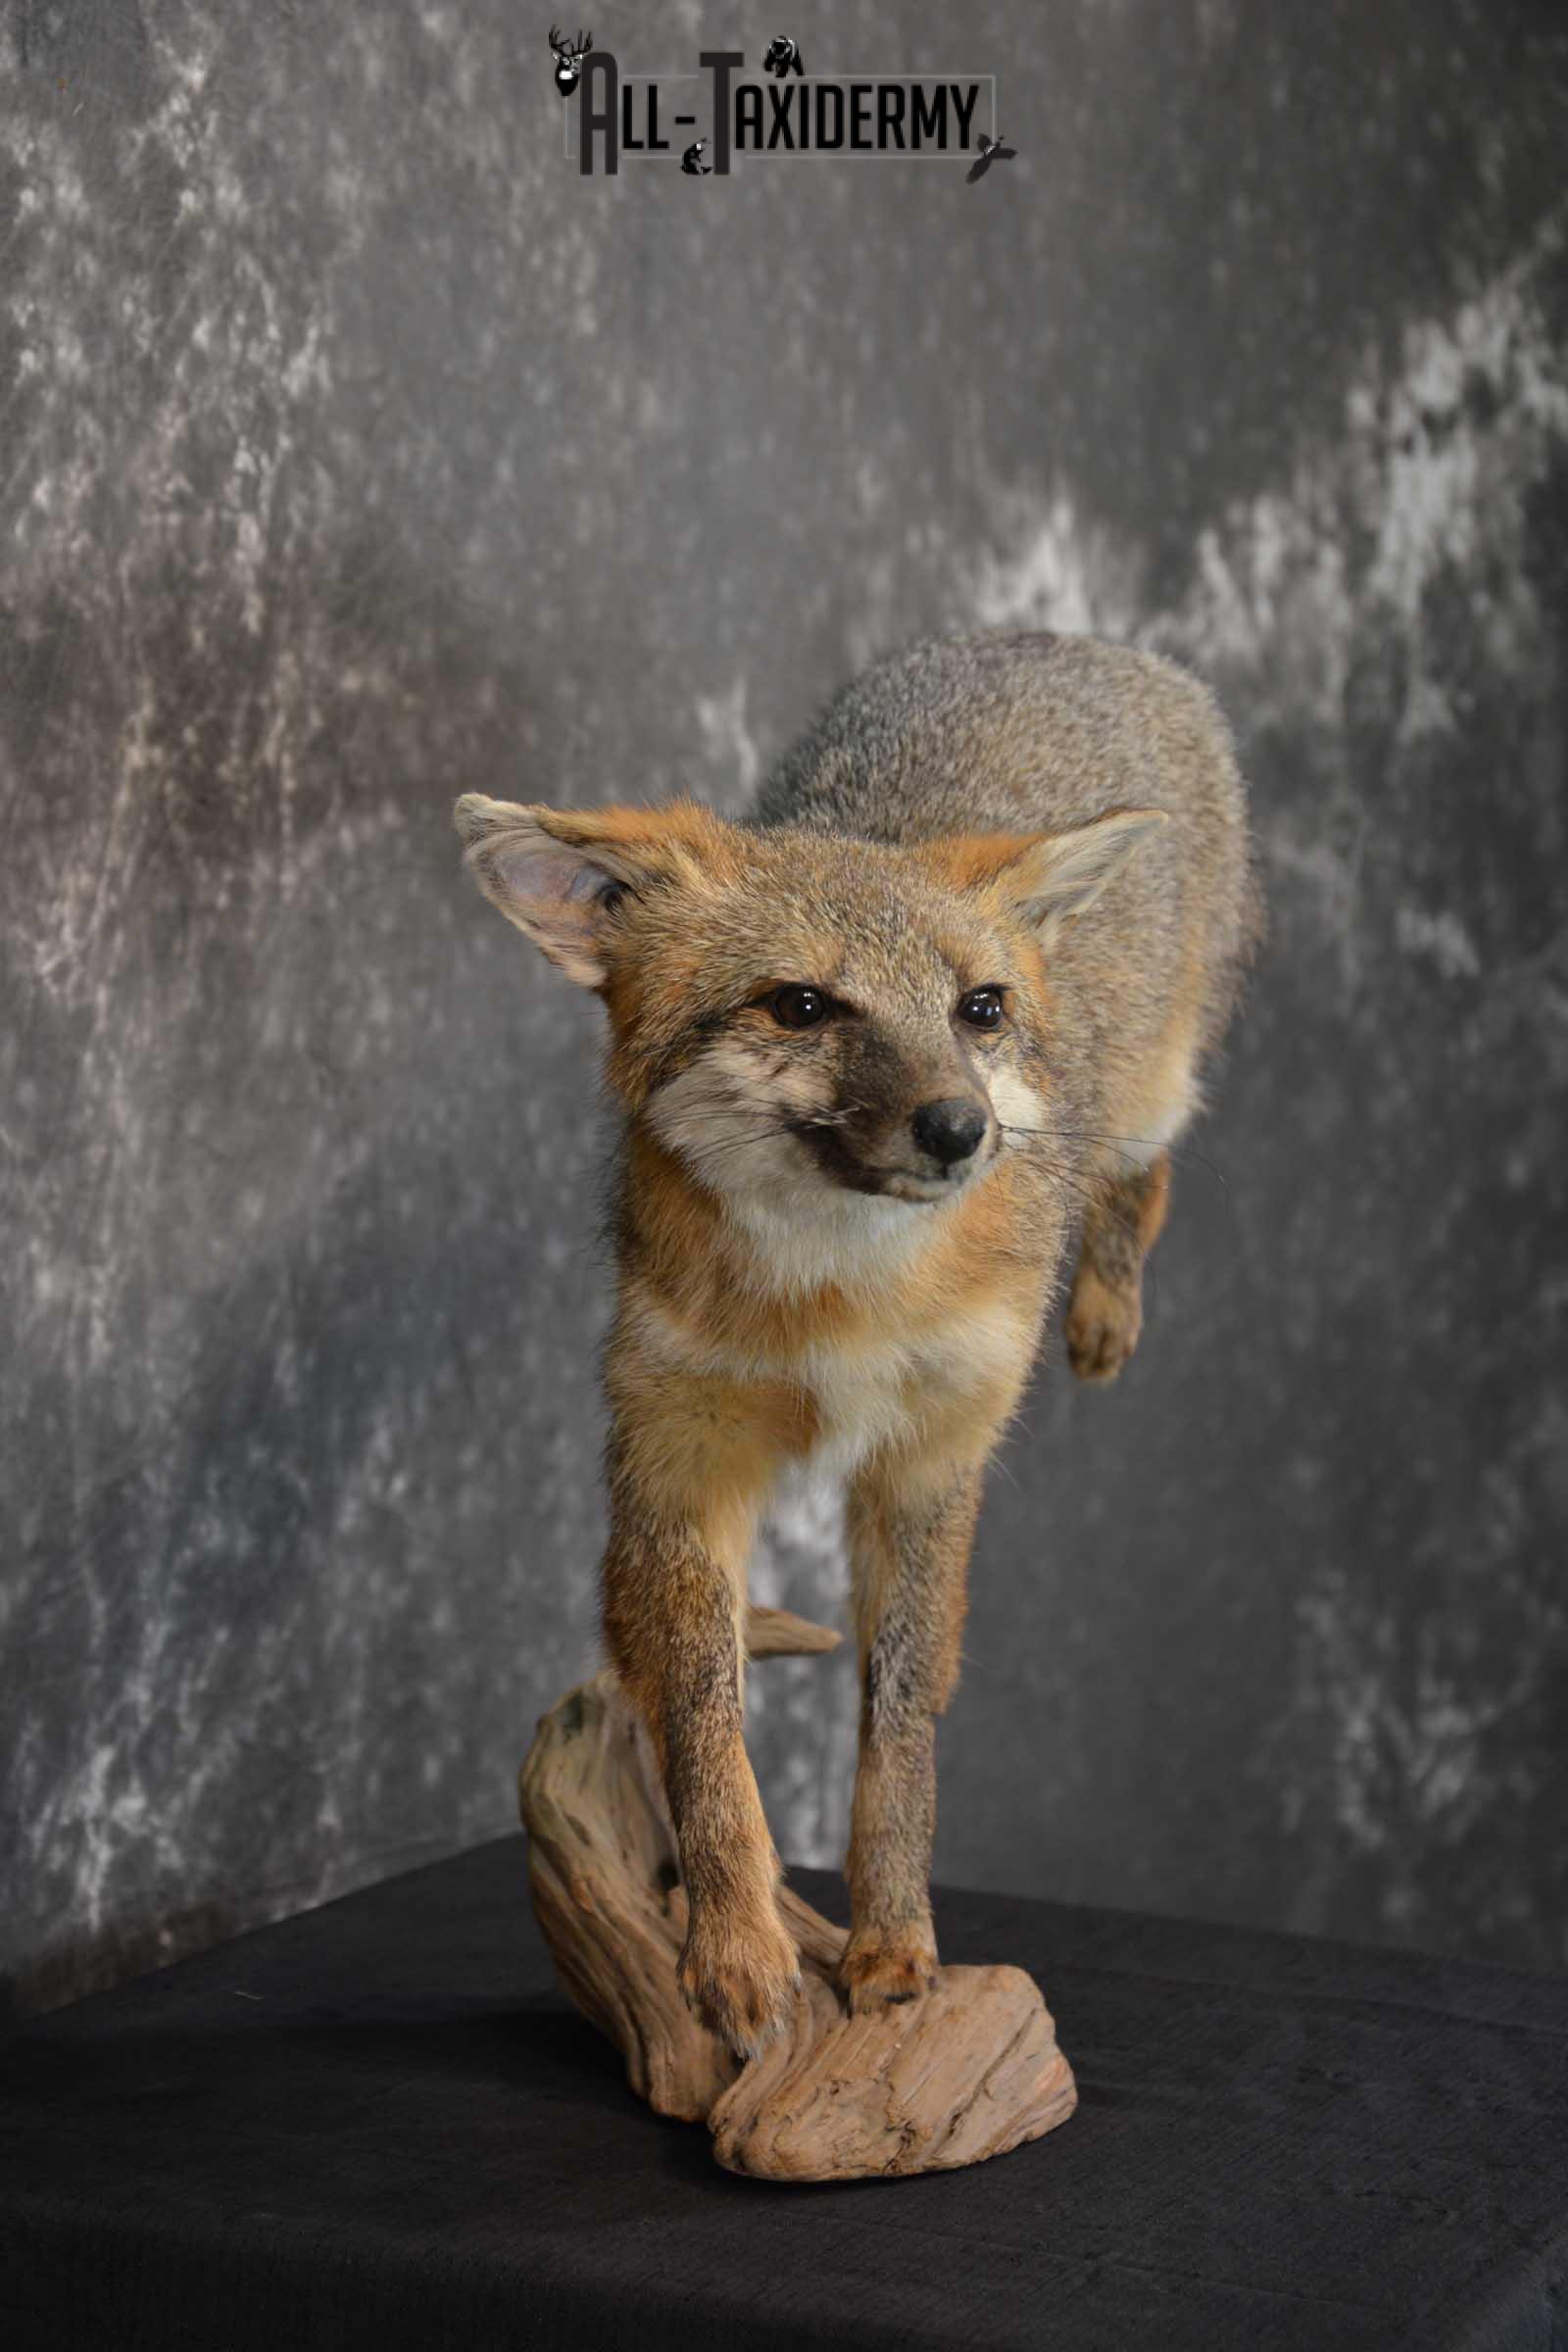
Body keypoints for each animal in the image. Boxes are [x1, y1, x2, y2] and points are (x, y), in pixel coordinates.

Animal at [456, 629, 1260, 2056]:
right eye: (802, 1006)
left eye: (978, 1010)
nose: (958, 1130)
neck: (838, 1301)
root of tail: (1068, 640)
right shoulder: (676, 1461)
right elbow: (707, 1735)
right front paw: (736, 1948)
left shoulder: (931, 1464)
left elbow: (900, 1721)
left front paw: (892, 1945)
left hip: (1149, 1098)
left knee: (1144, 1167)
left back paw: (1106, 1312)